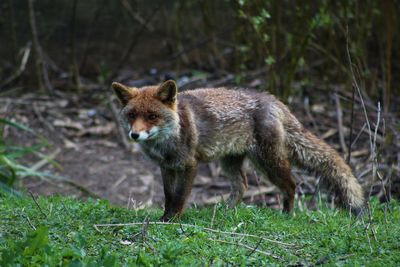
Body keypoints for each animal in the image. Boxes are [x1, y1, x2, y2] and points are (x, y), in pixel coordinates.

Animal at [111, 80, 366, 222]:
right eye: (132, 115)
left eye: (152, 116)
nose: (135, 135)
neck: (167, 141)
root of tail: (272, 99)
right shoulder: (167, 167)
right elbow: (168, 196)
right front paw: (165, 218)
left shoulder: (189, 165)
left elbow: (180, 197)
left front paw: (174, 220)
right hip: (230, 162)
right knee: (242, 185)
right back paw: (225, 212)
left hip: (267, 162)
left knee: (292, 185)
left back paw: (287, 215)